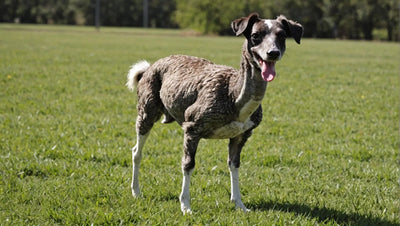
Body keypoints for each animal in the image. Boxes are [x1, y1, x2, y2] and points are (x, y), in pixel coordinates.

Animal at [126, 13, 302, 215]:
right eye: (256, 36)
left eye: (282, 35)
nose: (273, 53)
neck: (232, 95)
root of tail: (148, 68)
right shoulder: (192, 127)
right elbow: (188, 164)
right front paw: (185, 206)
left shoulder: (241, 135)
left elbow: (234, 164)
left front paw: (240, 204)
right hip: (146, 111)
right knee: (136, 151)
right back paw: (136, 192)